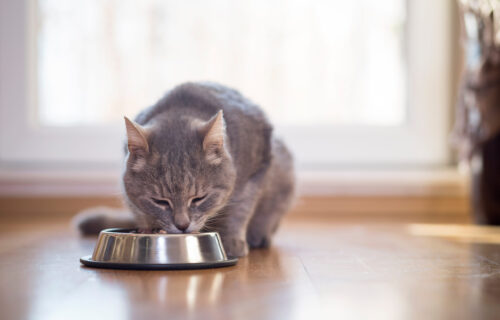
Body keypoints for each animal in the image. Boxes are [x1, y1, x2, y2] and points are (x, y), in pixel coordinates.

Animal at [75, 82, 294, 258]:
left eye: (199, 199)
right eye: (160, 201)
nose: (182, 225)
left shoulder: (255, 173)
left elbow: (239, 210)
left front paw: (232, 241)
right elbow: (140, 210)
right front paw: (148, 228)